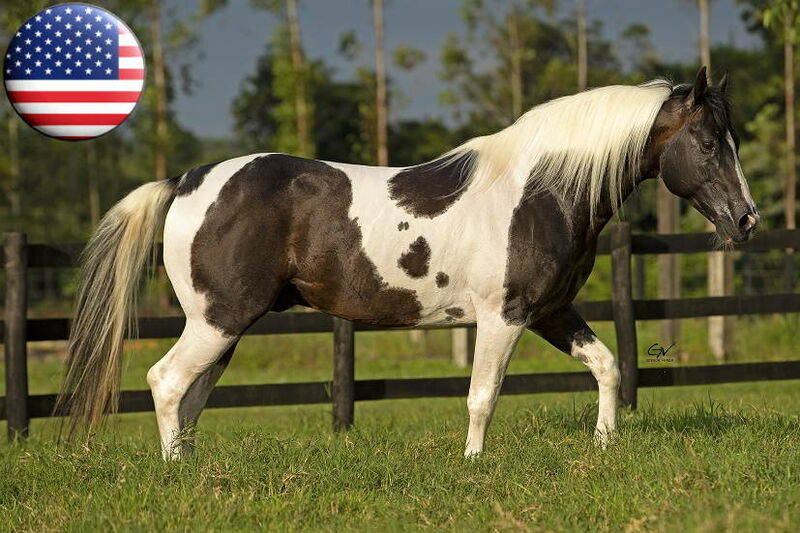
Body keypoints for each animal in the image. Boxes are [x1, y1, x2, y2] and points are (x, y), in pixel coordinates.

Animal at [61, 66, 756, 458]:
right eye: (706, 142)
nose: (746, 219)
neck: (541, 192)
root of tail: (185, 181)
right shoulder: (503, 318)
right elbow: (482, 396)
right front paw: (474, 466)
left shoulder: (550, 313)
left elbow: (608, 367)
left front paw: (606, 446)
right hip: (218, 321)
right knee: (167, 383)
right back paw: (175, 471)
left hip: (225, 327)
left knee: (191, 395)